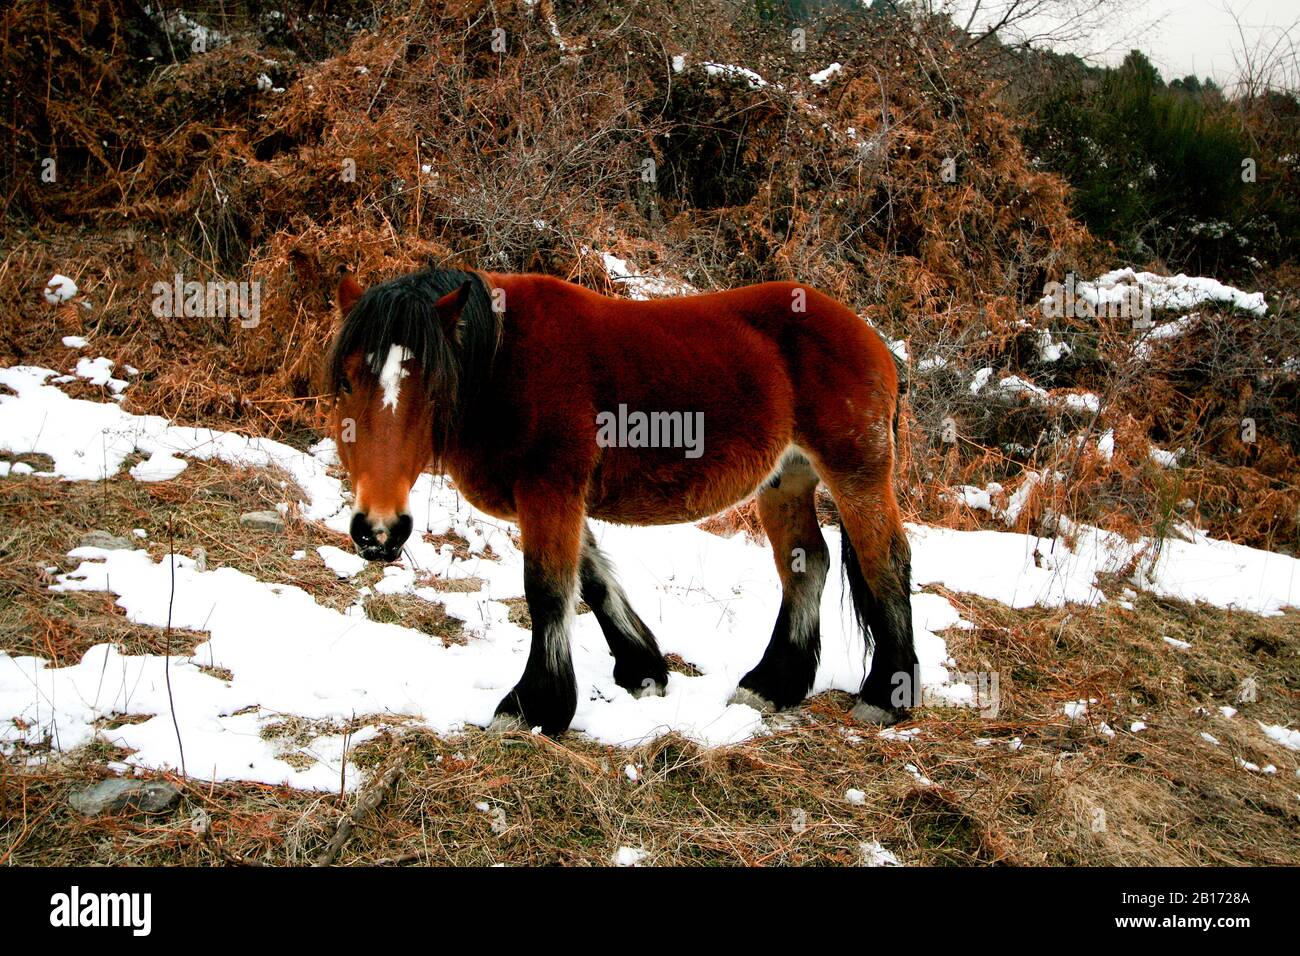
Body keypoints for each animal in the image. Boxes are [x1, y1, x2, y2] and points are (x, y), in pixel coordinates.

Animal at [330, 267, 920, 733]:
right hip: (787, 481)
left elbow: (548, 591)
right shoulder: (560, 501)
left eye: (432, 386)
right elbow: (591, 580)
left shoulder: (550, 492)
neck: (500, 361)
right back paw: (773, 685)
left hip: (858, 476)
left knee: (885, 563)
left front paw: (533, 707)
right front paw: (644, 672)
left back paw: (886, 695)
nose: (378, 530)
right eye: (348, 382)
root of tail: (873, 341)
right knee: (806, 566)